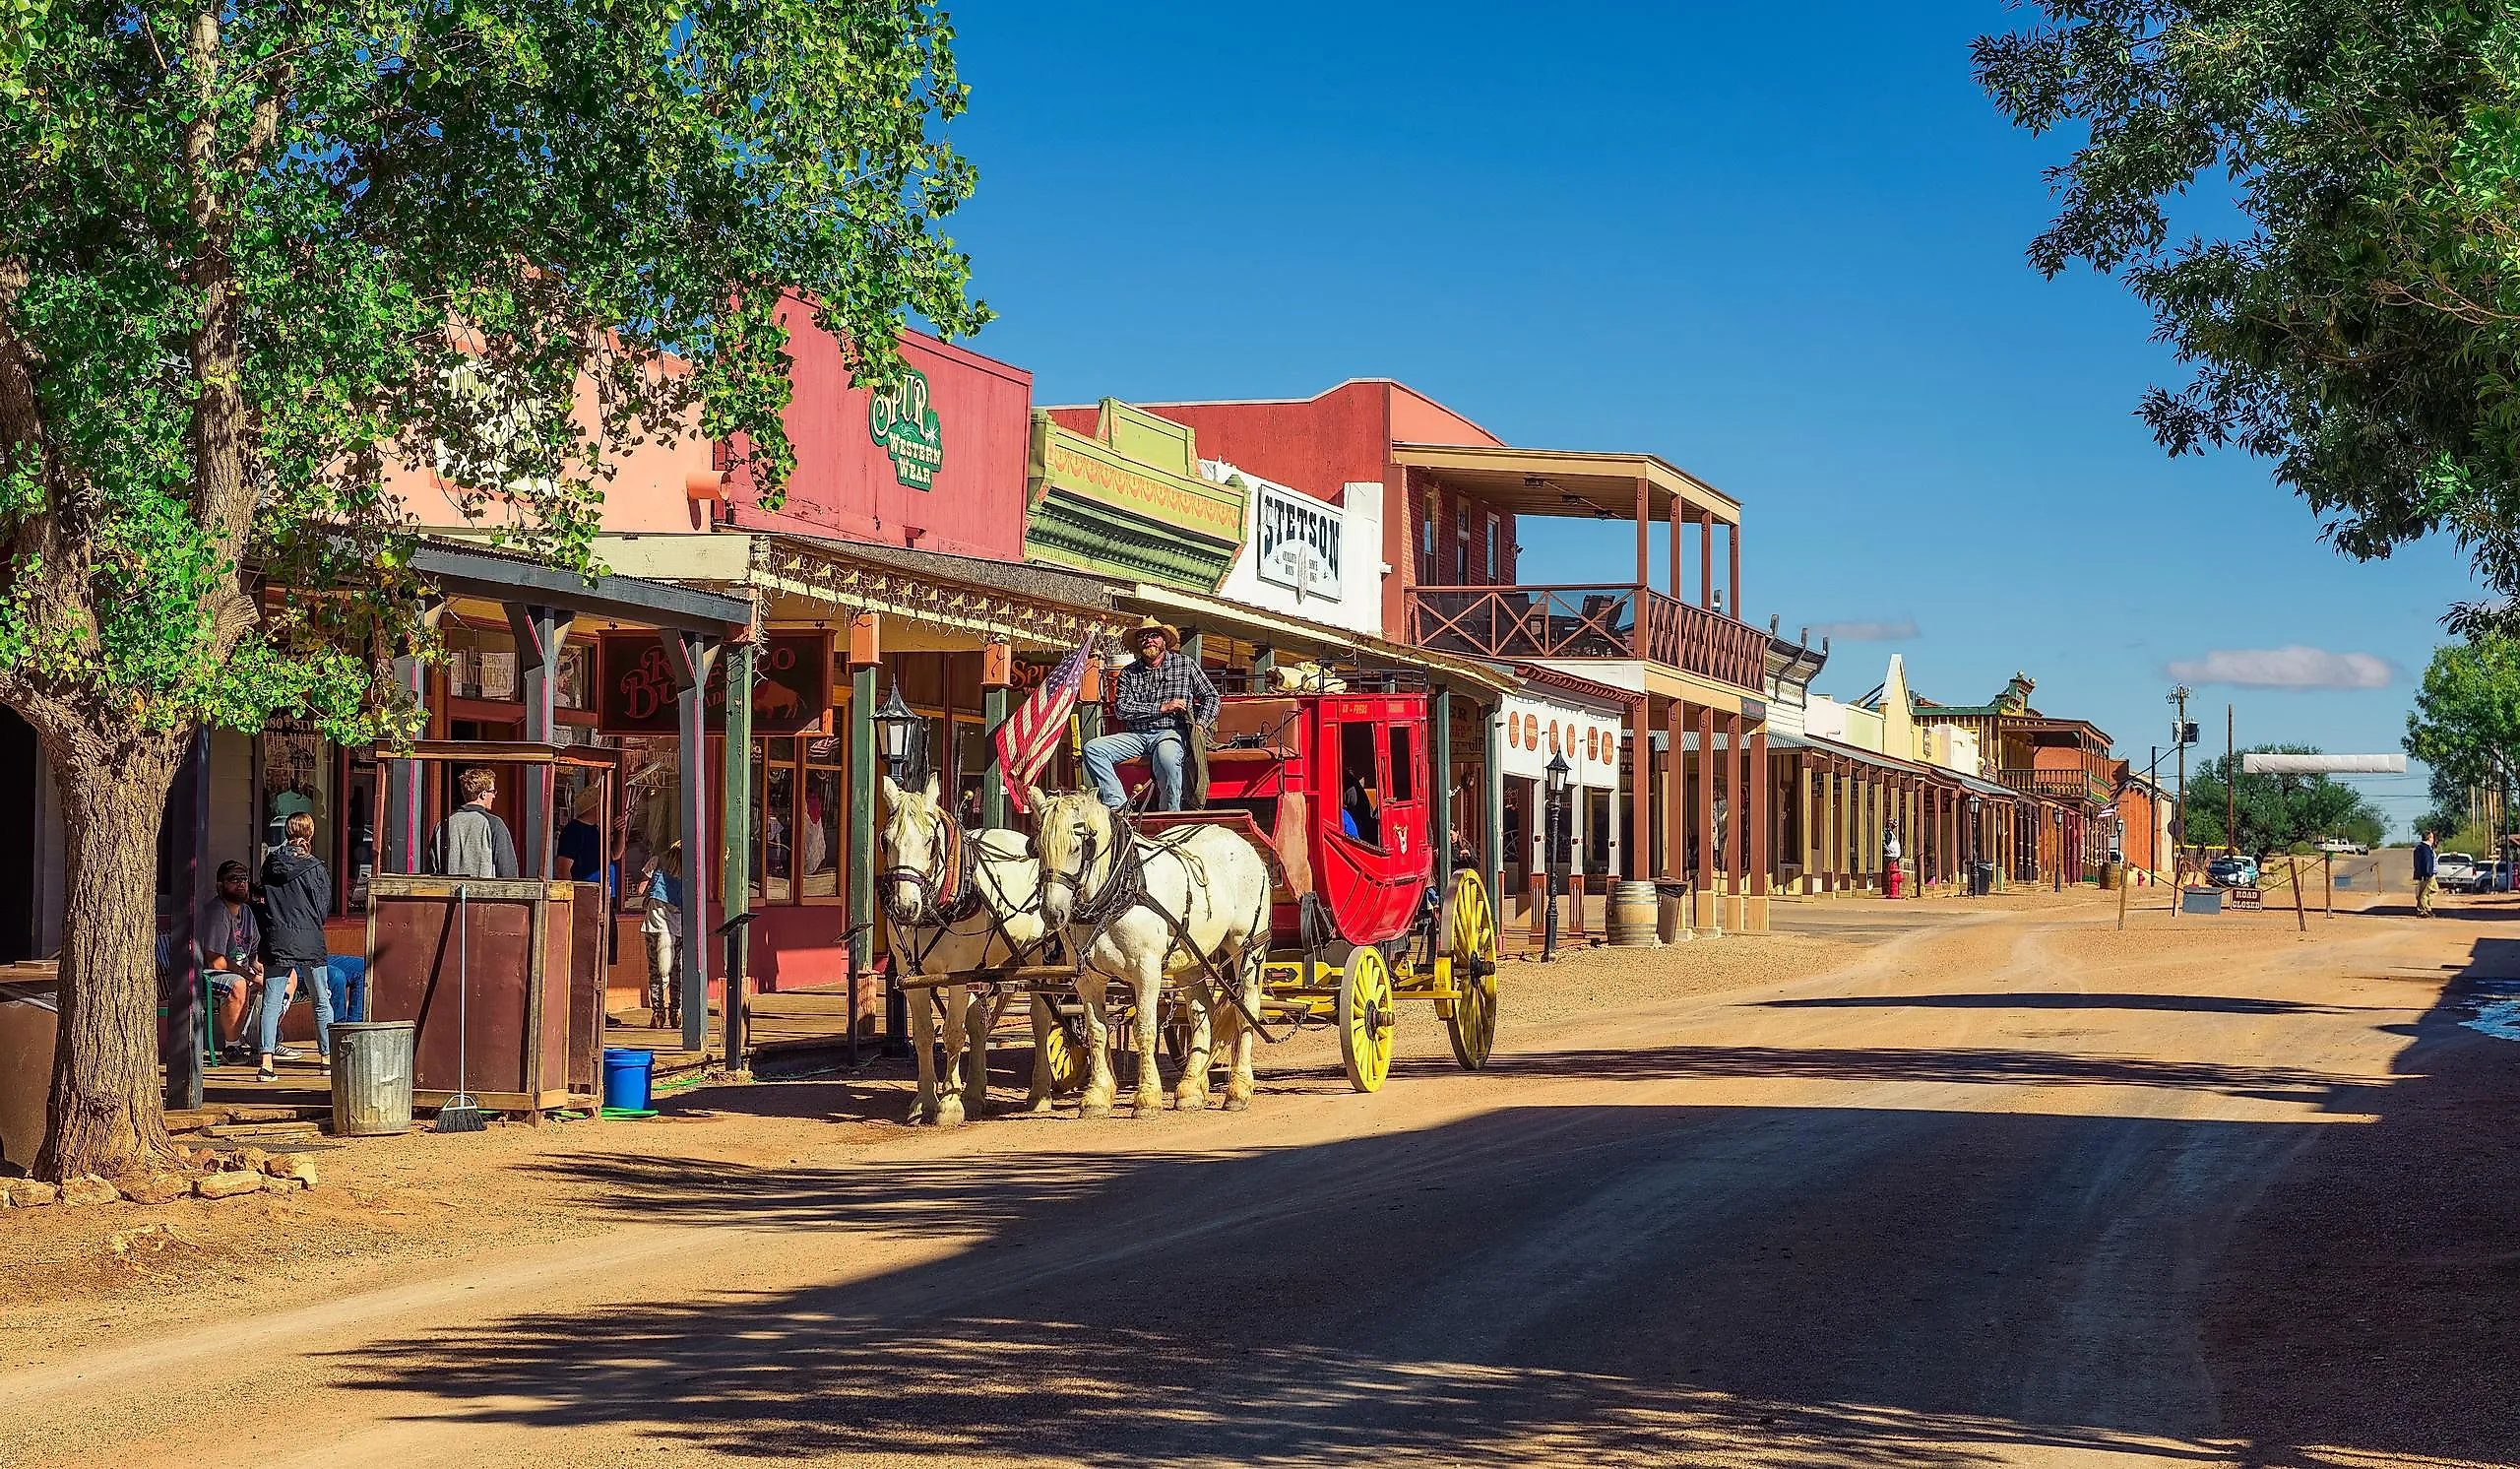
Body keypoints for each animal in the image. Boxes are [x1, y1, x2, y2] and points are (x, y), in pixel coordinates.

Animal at [876, 776, 1063, 1133]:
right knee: (979, 1021)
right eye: (886, 840)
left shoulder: (957, 975)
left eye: (931, 841)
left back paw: (1039, 1093)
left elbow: (952, 1033)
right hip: (987, 966)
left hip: (1035, 957)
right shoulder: (912, 974)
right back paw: (975, 1094)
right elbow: (924, 1035)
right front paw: (924, 1101)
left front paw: (949, 1105)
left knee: (1040, 1019)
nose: (905, 907)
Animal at [1023, 791, 1270, 1114]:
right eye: (1038, 848)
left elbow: (1144, 1028)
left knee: (1246, 1010)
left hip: (1248, 946)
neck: (1118, 891)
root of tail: (1242, 844)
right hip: (1190, 955)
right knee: (1201, 1012)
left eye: (1077, 847)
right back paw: (1191, 1089)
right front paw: (1097, 1096)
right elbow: (1096, 1031)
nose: (1053, 913)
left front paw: (1147, 1097)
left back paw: (1238, 1090)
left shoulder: (1147, 971)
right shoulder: (1089, 979)